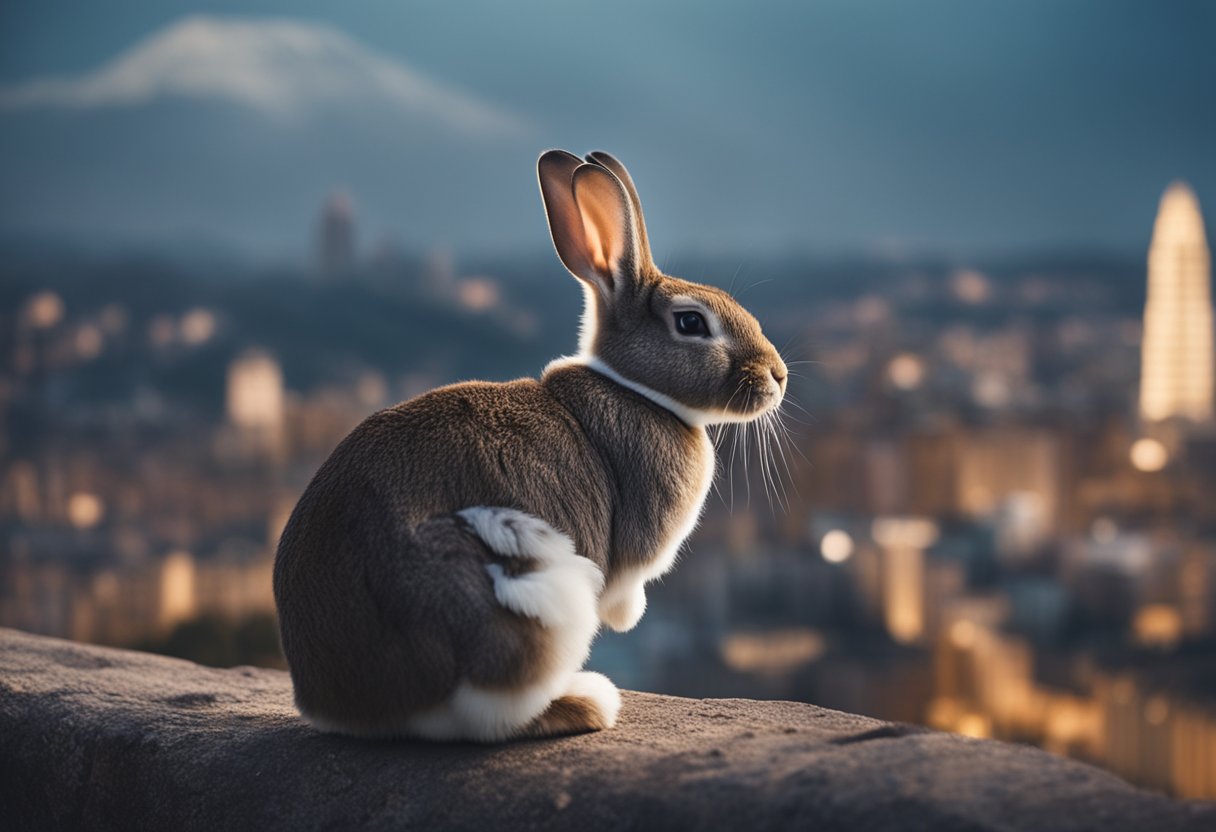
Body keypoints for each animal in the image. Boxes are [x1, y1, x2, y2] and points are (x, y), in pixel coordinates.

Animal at [274, 149, 787, 739]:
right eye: (690, 322)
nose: (778, 376)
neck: (638, 390)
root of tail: (344, 703)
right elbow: (622, 594)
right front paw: (627, 618)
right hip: (525, 596)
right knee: (495, 713)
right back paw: (587, 703)